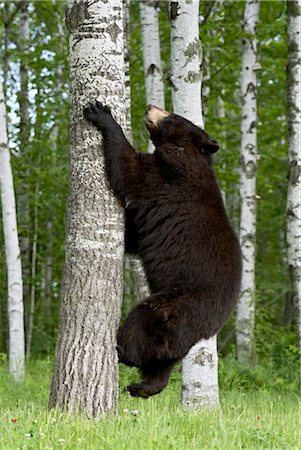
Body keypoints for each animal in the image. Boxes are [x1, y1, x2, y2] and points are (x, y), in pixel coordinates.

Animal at [82, 101, 241, 398]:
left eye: (174, 116)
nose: (150, 106)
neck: (184, 153)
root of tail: (213, 324)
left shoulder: (166, 176)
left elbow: (128, 169)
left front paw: (101, 113)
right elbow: (135, 236)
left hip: (176, 304)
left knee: (142, 323)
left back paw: (122, 350)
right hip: (178, 328)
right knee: (163, 362)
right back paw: (141, 386)